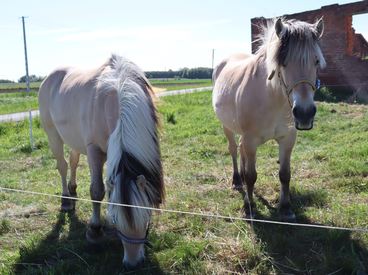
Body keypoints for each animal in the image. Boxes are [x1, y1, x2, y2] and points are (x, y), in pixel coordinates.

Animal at [37, 54, 164, 270]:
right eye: (115, 218)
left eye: (146, 216)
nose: (133, 263)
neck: (119, 93)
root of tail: (50, 77)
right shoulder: (94, 150)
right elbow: (97, 191)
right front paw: (95, 231)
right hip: (52, 134)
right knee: (62, 166)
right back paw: (66, 200)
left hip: (75, 139)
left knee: (73, 161)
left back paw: (73, 190)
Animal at [211, 17, 326, 222]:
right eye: (284, 63)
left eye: (316, 61)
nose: (304, 113)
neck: (272, 99)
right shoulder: (251, 141)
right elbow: (251, 176)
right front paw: (249, 207)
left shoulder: (287, 140)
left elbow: (285, 174)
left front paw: (286, 208)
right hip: (227, 127)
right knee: (234, 150)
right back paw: (236, 180)